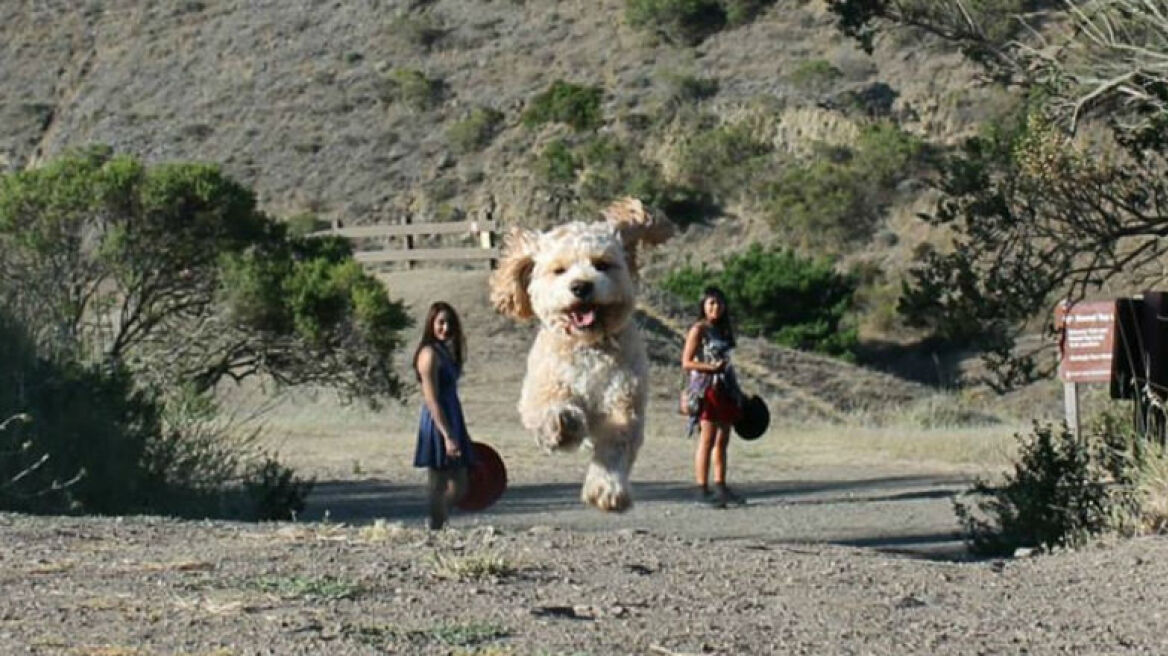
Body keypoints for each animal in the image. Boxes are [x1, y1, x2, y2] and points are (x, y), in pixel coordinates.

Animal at [488, 196, 677, 508]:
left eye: (602, 264)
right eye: (559, 270)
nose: (581, 286)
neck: (588, 345)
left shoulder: (623, 400)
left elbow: (616, 445)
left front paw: (607, 489)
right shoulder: (541, 389)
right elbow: (549, 408)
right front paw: (563, 425)